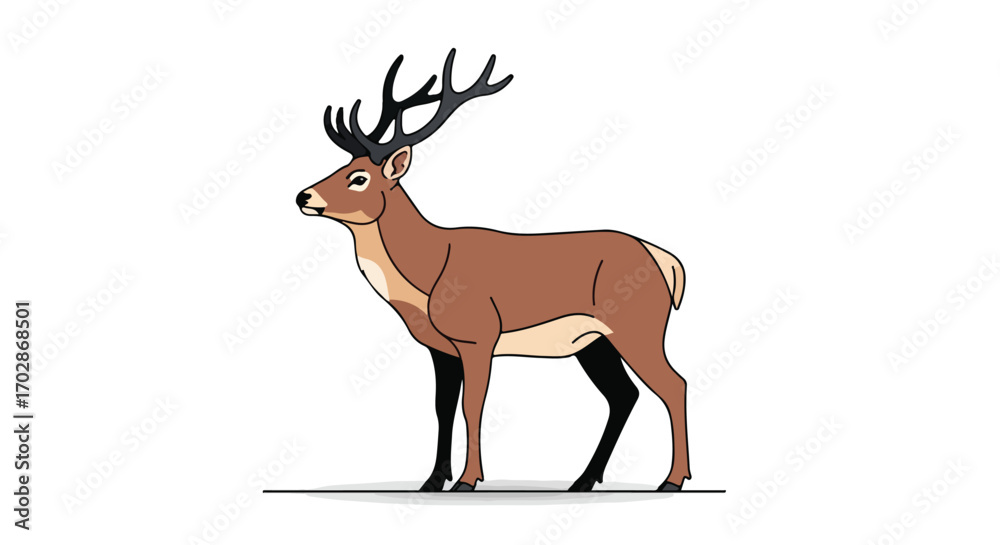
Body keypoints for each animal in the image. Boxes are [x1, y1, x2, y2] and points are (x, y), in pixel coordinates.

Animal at [297, 49, 690, 492]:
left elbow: (473, 406)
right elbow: (442, 408)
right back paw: (584, 479)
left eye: (359, 178)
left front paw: (468, 481)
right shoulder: (441, 347)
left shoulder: (478, 335)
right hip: (594, 341)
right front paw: (433, 481)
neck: (428, 274)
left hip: (638, 327)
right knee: (624, 395)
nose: (302, 196)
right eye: (338, 167)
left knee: (674, 385)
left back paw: (673, 480)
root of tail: (665, 260)